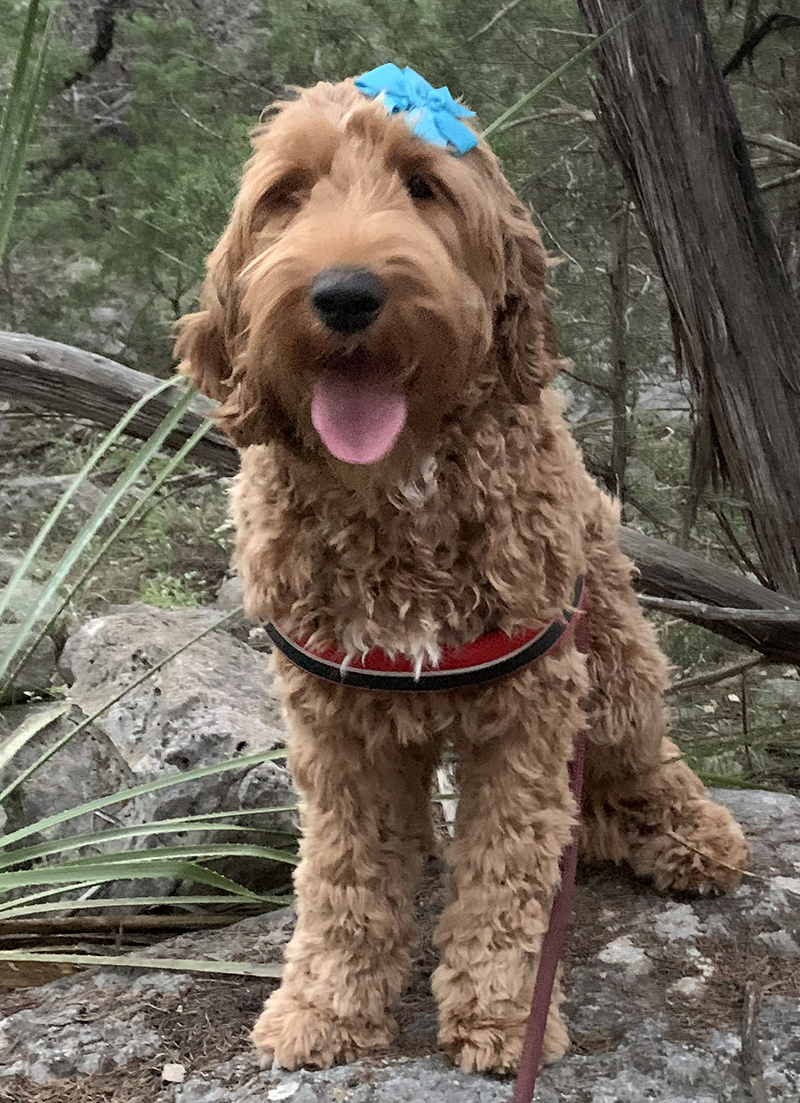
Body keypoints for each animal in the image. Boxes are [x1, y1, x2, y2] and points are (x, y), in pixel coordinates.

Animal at [174, 77, 750, 1076]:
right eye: (288, 193)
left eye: (423, 185)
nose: (345, 294)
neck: (397, 489)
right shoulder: (337, 721)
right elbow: (343, 872)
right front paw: (326, 1002)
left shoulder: (529, 709)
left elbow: (507, 873)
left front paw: (502, 1016)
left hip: (616, 664)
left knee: (641, 757)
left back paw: (685, 831)